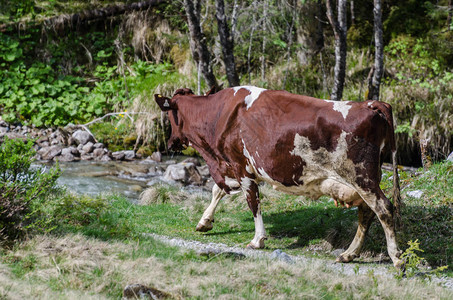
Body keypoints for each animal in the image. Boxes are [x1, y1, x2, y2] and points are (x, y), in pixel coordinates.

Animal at [154, 86, 402, 268]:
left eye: (170, 116)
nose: (171, 143)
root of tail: (370, 104)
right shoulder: (229, 167)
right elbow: (218, 190)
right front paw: (204, 222)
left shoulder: (241, 166)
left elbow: (253, 202)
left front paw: (257, 240)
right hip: (365, 180)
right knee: (366, 213)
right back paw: (349, 254)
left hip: (362, 177)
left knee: (384, 208)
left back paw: (397, 258)